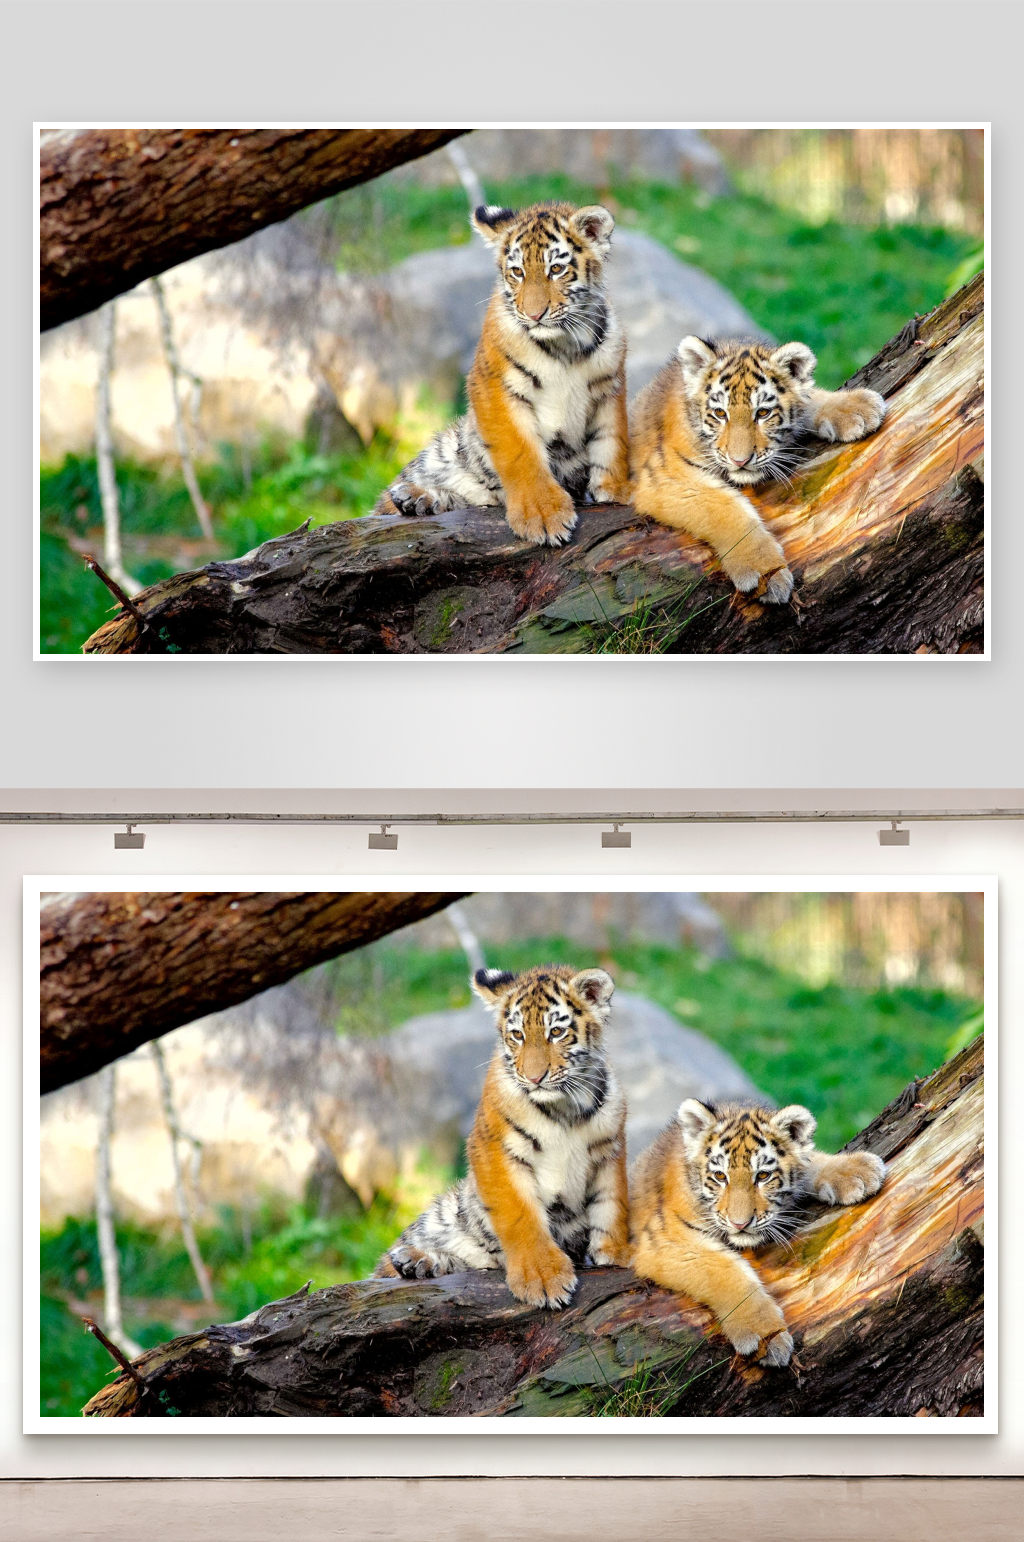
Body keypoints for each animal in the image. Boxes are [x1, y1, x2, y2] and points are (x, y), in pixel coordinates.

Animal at [373, 202, 630, 547]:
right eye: (517, 272)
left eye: (556, 269)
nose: (534, 315)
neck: (564, 344)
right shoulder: (494, 386)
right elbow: (520, 453)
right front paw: (542, 515)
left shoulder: (609, 386)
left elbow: (612, 440)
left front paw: (617, 490)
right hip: (444, 452)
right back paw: (412, 496)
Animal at [374, 964, 630, 1309]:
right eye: (517, 1035)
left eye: (556, 1032)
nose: (534, 1078)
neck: (564, 1107)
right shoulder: (494, 1149)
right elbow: (521, 1217)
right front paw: (543, 1278)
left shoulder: (609, 1148)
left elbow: (612, 1203)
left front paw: (617, 1253)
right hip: (443, 1216)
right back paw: (412, 1259)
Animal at [629, 1098, 886, 1366]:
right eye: (720, 1176)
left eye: (762, 1175)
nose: (740, 1224)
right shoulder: (667, 1240)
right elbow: (727, 1272)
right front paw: (765, 1336)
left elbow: (809, 1161)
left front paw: (857, 1169)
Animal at [630, 336, 886, 603]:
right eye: (720, 413)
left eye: (763, 412)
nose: (740, 461)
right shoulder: (667, 477)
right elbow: (727, 509)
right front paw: (765, 573)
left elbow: (809, 398)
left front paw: (857, 406)